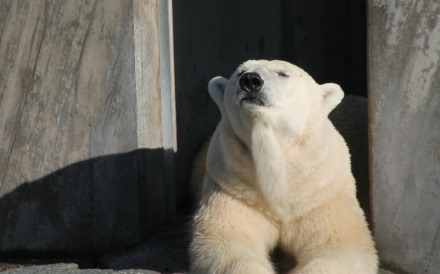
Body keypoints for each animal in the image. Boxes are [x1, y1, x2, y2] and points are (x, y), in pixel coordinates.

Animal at [189, 60, 378, 274]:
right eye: (240, 72)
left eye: (283, 74)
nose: (251, 80)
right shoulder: (234, 187)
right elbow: (227, 240)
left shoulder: (319, 196)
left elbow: (339, 246)